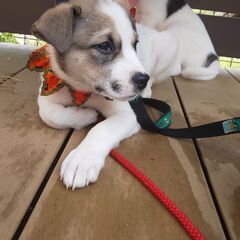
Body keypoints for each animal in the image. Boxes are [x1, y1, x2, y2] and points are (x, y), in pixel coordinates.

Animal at [32, 0, 178, 189]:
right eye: (104, 46)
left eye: (135, 45)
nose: (142, 80)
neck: (83, 89)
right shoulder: (48, 93)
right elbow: (49, 115)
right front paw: (85, 115)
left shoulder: (127, 115)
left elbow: (102, 129)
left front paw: (82, 160)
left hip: (169, 50)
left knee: (155, 75)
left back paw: (147, 89)